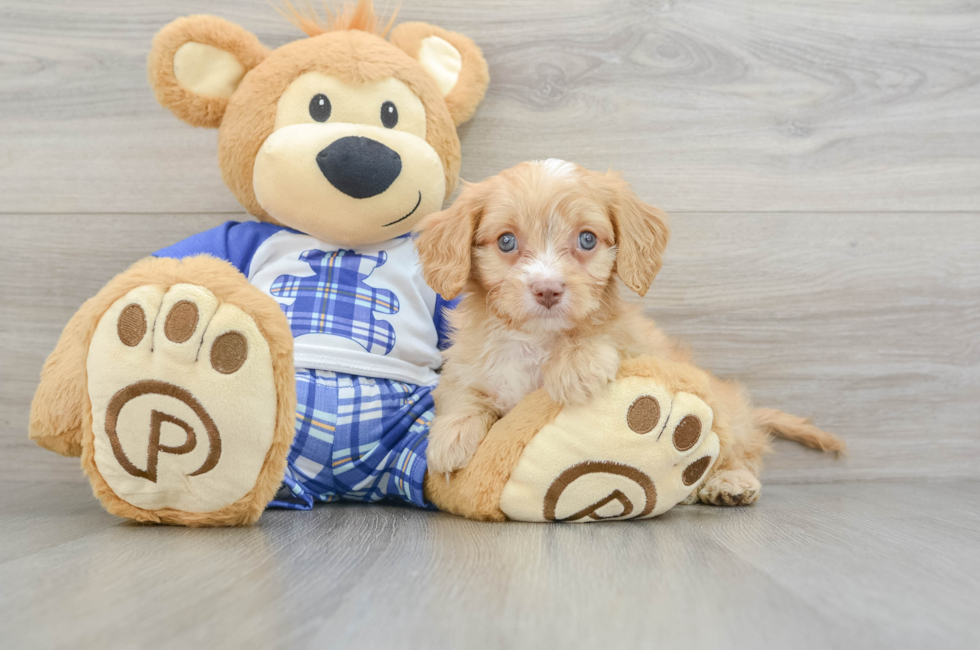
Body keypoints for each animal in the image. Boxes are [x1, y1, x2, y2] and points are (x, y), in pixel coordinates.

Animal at [414, 159, 844, 504]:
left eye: (587, 239)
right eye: (506, 241)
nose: (548, 289)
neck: (537, 339)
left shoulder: (638, 346)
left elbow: (606, 337)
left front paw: (576, 365)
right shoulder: (467, 364)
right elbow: (462, 393)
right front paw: (450, 437)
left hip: (721, 411)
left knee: (739, 451)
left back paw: (730, 482)